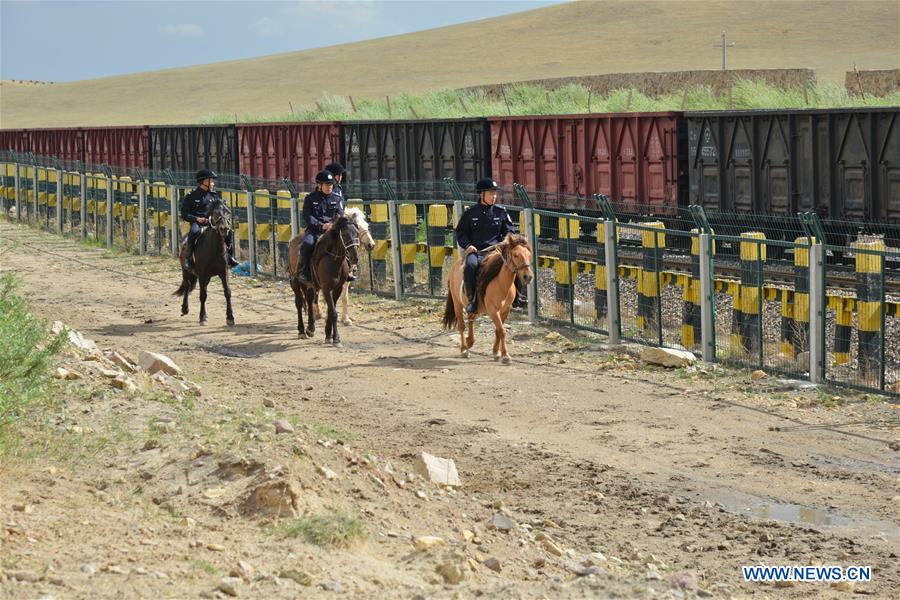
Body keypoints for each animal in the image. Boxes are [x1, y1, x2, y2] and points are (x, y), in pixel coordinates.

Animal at [173, 197, 236, 326]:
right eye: (215, 213)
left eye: (228, 212)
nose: (224, 229)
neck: (214, 249)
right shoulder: (202, 274)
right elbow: (203, 295)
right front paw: (202, 317)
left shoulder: (224, 272)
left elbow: (227, 292)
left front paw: (230, 317)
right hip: (186, 271)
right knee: (187, 286)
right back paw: (185, 308)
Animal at [288, 216, 358, 346]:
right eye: (344, 234)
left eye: (356, 232)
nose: (355, 257)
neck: (332, 260)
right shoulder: (326, 288)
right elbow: (333, 313)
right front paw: (336, 339)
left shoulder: (337, 288)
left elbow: (331, 311)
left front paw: (328, 335)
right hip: (295, 282)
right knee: (299, 303)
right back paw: (302, 331)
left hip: (310, 285)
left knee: (309, 300)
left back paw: (310, 329)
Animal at [442, 234, 536, 364]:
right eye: (516, 255)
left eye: (529, 254)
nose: (528, 277)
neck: (500, 282)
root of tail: (455, 266)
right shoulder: (493, 311)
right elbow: (502, 330)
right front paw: (505, 355)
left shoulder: (505, 310)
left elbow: (498, 330)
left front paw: (496, 352)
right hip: (457, 303)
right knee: (461, 325)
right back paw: (464, 349)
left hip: (473, 307)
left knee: (471, 319)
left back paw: (470, 341)